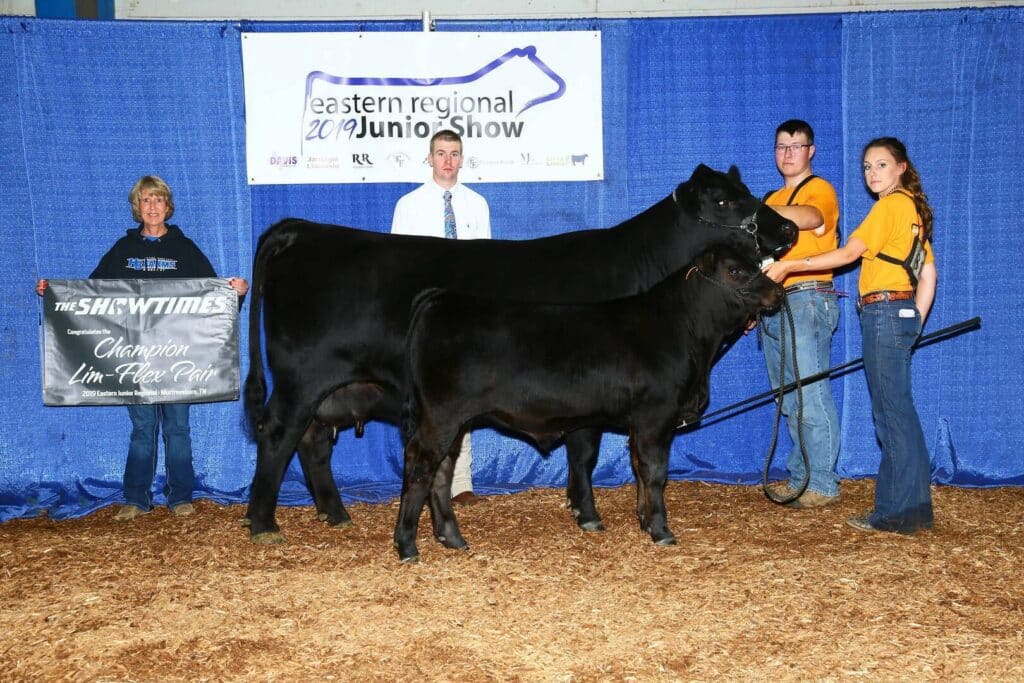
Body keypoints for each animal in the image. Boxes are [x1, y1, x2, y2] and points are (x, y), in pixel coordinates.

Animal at [394, 245, 783, 561]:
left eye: (757, 264)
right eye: (736, 271)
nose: (777, 291)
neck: (687, 335)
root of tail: (440, 298)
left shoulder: (636, 422)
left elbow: (637, 468)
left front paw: (643, 521)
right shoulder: (656, 416)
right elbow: (655, 471)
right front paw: (661, 530)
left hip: (452, 421)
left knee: (441, 470)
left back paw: (452, 538)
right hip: (441, 416)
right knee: (420, 466)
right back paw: (407, 545)